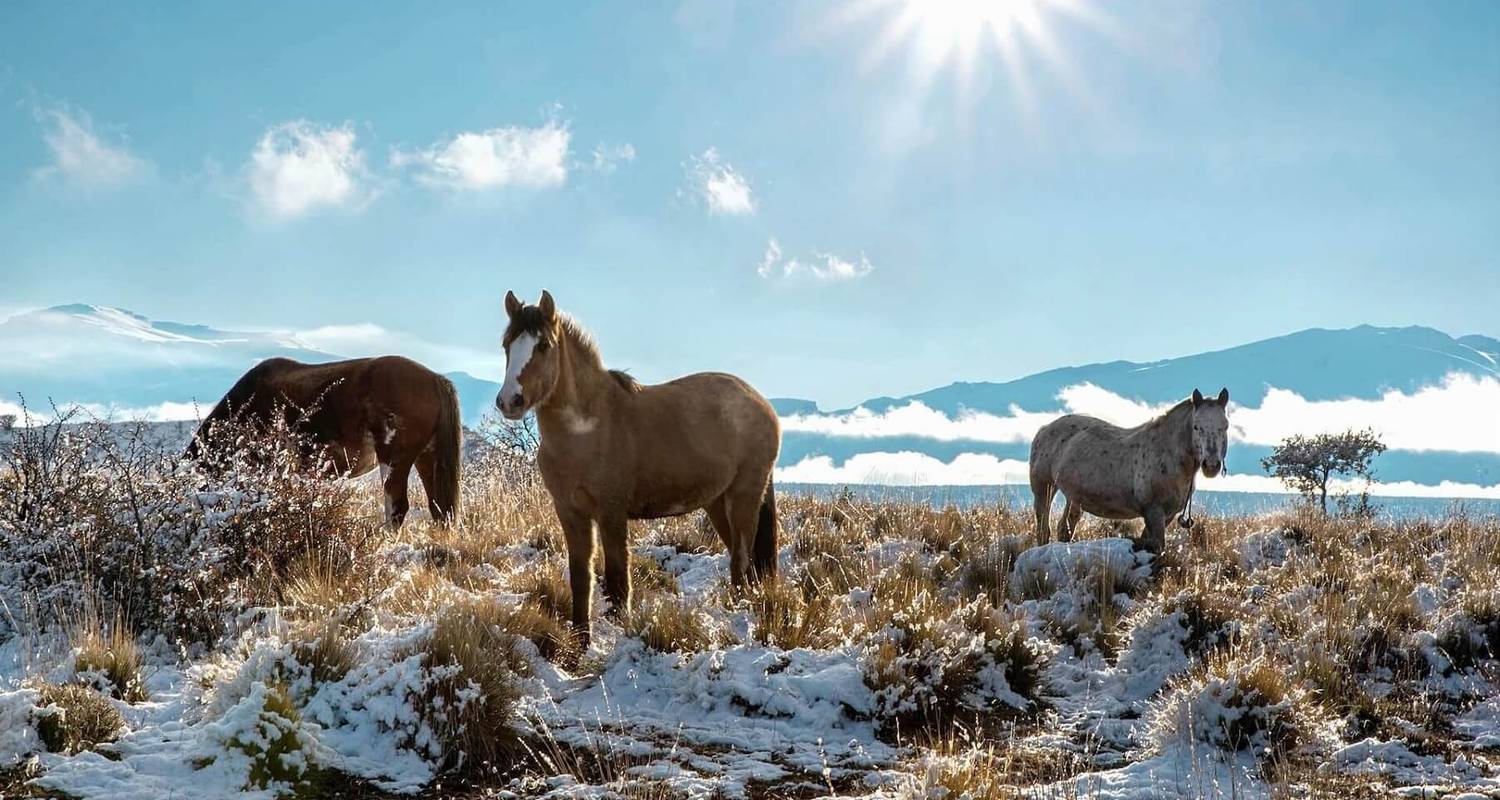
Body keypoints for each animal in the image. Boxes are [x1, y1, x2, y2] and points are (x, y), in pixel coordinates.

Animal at [501, 286, 786, 642]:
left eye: (543, 345)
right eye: (506, 344)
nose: (509, 401)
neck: (587, 429)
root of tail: (761, 404)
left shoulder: (611, 512)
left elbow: (617, 580)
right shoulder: (570, 512)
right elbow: (581, 579)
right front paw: (581, 641)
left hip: (744, 496)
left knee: (742, 560)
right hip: (718, 502)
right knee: (739, 557)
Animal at [1032, 387, 1230, 552]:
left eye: (1225, 426)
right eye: (1196, 427)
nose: (1211, 465)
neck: (1167, 452)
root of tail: (1044, 429)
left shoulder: (1167, 515)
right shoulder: (1154, 512)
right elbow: (1158, 547)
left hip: (1073, 496)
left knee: (1064, 528)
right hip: (1044, 489)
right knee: (1043, 529)